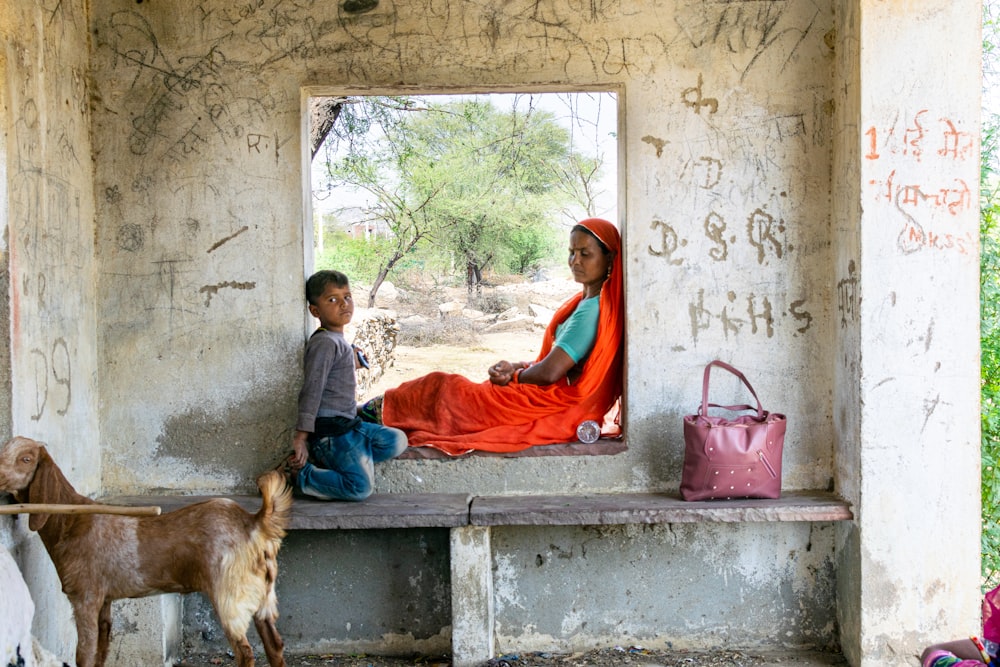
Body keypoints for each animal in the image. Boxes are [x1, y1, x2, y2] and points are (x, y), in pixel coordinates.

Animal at [0, 436, 292, 667]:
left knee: (245, 652)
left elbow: (84, 655)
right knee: (274, 645)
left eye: (26, 458)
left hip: (230, 595)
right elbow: (100, 651)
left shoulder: (85, 597)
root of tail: (253, 522)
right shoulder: (104, 601)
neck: (70, 522)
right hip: (263, 596)